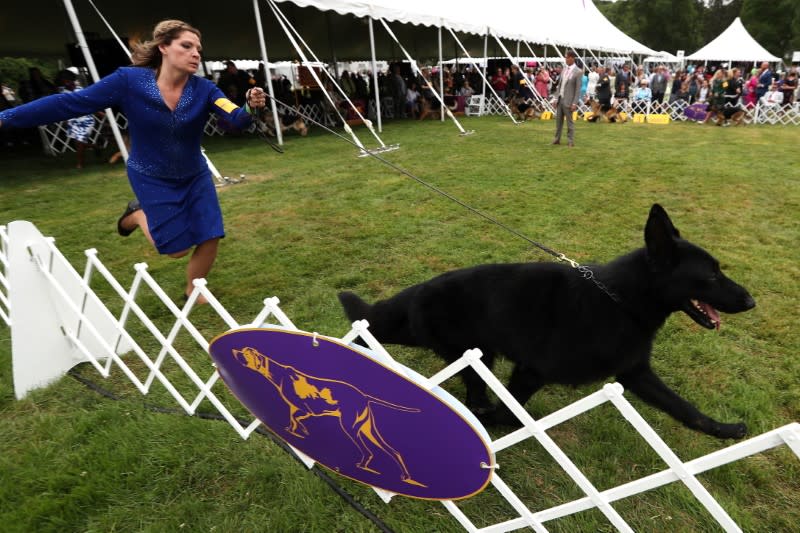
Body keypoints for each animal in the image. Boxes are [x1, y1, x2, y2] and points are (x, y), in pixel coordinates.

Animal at [340, 204, 756, 436]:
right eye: (712, 275)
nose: (752, 301)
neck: (621, 301)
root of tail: (422, 288)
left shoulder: (635, 373)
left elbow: (685, 409)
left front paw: (724, 430)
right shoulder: (531, 371)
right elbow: (510, 414)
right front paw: (491, 425)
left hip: (476, 354)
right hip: (471, 354)